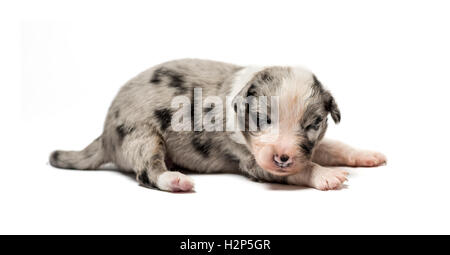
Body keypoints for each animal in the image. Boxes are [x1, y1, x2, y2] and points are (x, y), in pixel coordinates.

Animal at [50, 58, 386, 192]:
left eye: (312, 124)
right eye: (263, 119)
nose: (283, 157)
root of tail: (105, 134)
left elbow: (331, 146)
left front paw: (366, 156)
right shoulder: (252, 161)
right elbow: (299, 170)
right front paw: (327, 175)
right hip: (140, 134)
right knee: (147, 171)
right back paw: (175, 180)